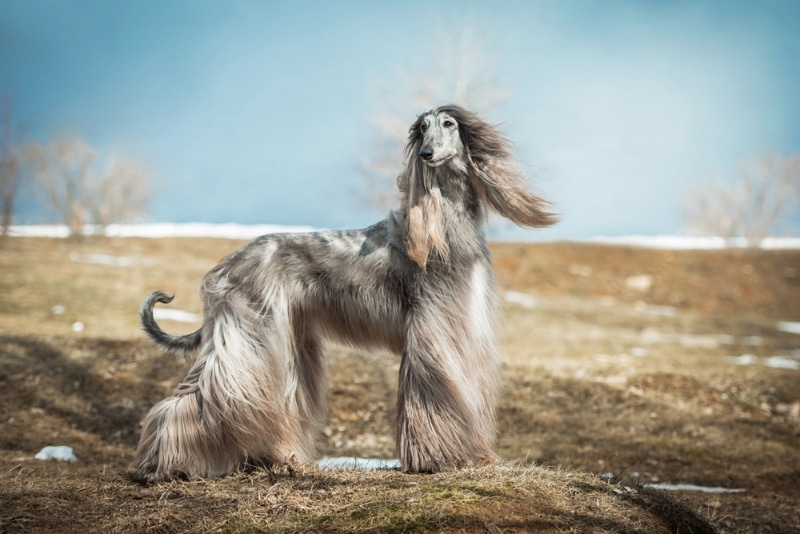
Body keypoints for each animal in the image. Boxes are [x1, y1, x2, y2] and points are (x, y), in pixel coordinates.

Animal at [133, 107, 556, 484]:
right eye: (422, 128)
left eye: (449, 124)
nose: (427, 154)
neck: (445, 223)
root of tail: (223, 268)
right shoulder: (433, 326)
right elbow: (437, 389)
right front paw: (440, 460)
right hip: (248, 333)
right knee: (197, 397)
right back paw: (164, 465)